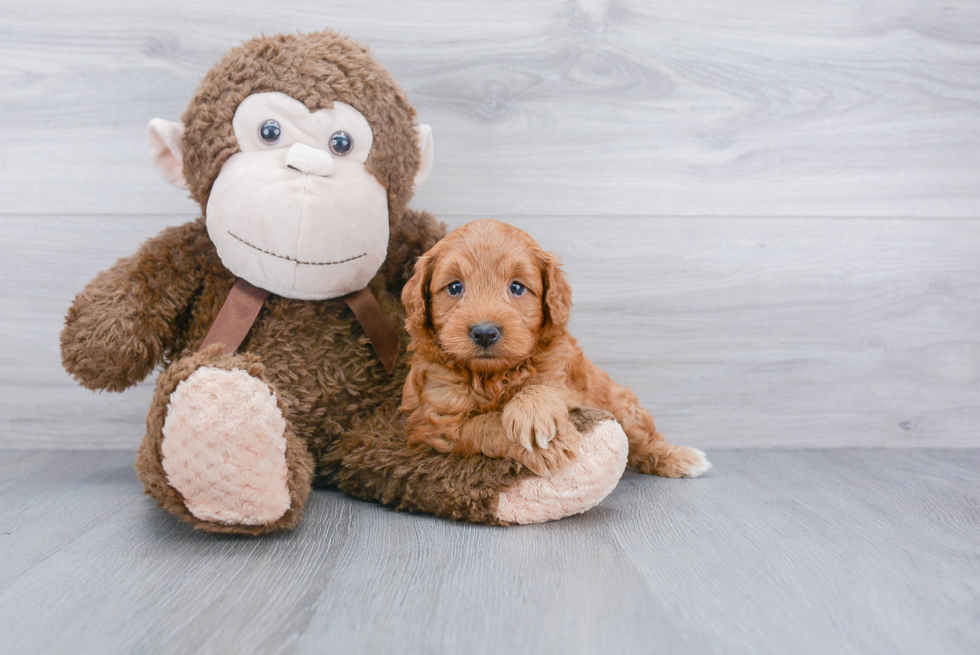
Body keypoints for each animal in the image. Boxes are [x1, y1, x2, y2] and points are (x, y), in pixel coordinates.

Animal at [398, 218, 712, 480]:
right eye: (454, 287)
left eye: (516, 287)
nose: (485, 332)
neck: (491, 376)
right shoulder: (440, 422)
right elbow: (486, 425)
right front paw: (547, 447)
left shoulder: (563, 376)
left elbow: (541, 387)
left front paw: (535, 417)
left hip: (622, 404)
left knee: (643, 439)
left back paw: (682, 458)